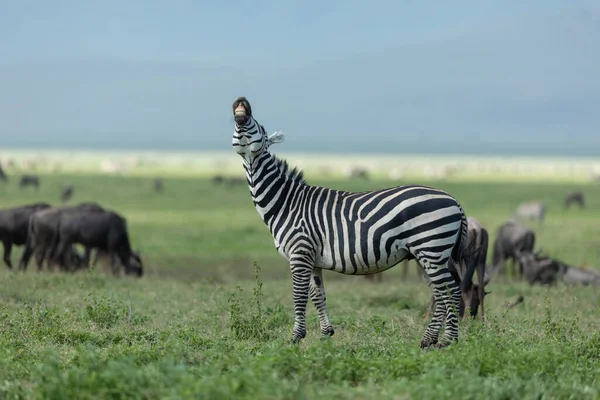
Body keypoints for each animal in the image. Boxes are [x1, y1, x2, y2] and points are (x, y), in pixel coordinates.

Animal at [232, 96, 472, 346]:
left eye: (260, 127)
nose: (241, 101)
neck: (286, 202)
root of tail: (454, 200)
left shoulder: (299, 253)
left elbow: (299, 296)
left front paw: (295, 337)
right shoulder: (313, 259)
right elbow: (318, 295)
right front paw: (325, 334)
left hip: (432, 248)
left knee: (451, 292)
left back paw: (448, 341)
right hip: (426, 255)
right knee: (440, 293)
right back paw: (429, 340)